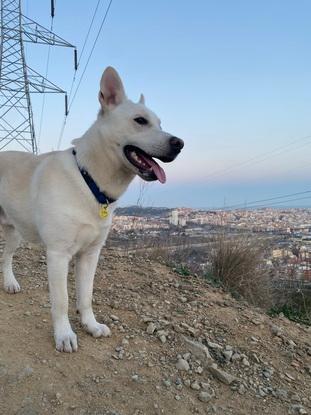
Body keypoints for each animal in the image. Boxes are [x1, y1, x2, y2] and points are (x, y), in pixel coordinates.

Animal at [0, 66, 184, 352]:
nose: (180, 143)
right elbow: (62, 301)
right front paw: (64, 335)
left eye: (160, 124)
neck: (89, 180)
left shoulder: (90, 255)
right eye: (140, 120)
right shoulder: (58, 255)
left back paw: (9, 283)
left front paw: (91, 325)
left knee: (6, 258)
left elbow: (85, 296)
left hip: (14, 232)